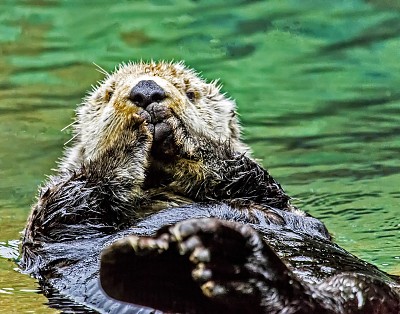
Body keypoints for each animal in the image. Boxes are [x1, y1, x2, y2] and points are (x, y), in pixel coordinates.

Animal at [21, 61, 400, 314]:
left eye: (190, 92)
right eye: (108, 94)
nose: (146, 90)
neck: (161, 194)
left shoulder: (264, 193)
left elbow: (242, 174)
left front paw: (186, 140)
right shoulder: (53, 221)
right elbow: (65, 204)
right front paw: (126, 139)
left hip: (369, 285)